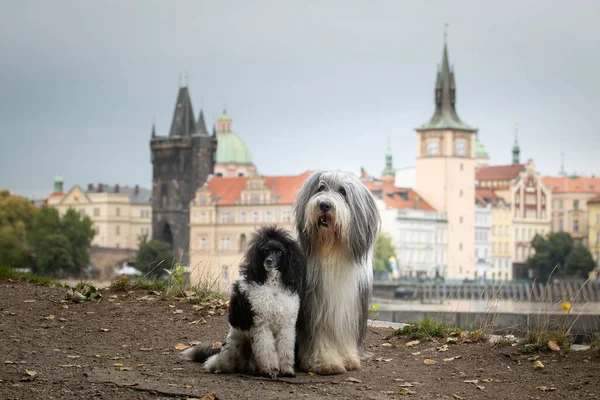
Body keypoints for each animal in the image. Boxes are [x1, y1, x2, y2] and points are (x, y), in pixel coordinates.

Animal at [179, 225, 304, 378]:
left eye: (280, 252)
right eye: (265, 250)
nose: (268, 261)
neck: (272, 286)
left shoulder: (286, 325)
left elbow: (286, 349)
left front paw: (286, 370)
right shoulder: (261, 325)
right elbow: (266, 350)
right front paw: (270, 369)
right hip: (233, 347)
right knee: (219, 361)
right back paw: (217, 367)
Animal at [294, 171, 380, 376]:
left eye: (342, 191)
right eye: (321, 187)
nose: (324, 205)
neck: (332, 251)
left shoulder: (349, 308)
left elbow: (345, 336)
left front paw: (349, 358)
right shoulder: (315, 308)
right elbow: (320, 337)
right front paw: (327, 363)